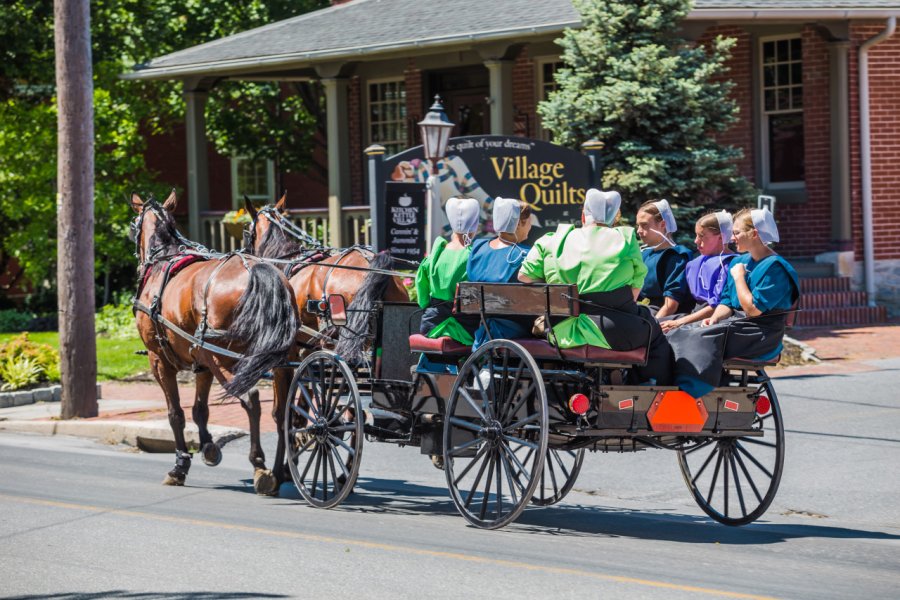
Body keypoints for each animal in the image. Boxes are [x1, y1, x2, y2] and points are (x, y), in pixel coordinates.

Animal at [130, 191, 298, 492]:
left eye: (133, 226)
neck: (163, 258)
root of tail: (258, 269)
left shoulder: (158, 360)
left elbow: (176, 414)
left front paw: (180, 465)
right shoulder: (202, 361)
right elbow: (200, 410)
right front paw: (208, 448)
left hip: (226, 358)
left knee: (251, 399)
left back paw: (260, 465)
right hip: (279, 362)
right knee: (281, 413)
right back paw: (279, 472)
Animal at [239, 195, 408, 490]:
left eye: (247, 232)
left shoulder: (287, 358)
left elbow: (283, 413)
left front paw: (279, 472)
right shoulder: (309, 357)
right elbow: (299, 411)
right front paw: (292, 462)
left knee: (352, 413)